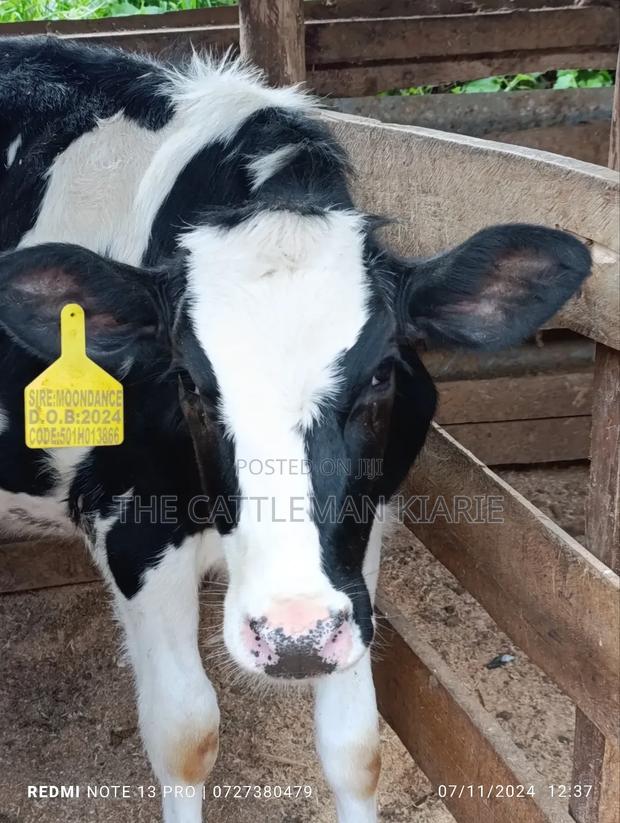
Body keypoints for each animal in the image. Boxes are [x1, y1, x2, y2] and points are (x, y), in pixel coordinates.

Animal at [0, 37, 590, 823]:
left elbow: (355, 746)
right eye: (189, 383)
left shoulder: (356, 542)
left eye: (380, 375)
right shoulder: (128, 526)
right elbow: (185, 734)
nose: (294, 637)